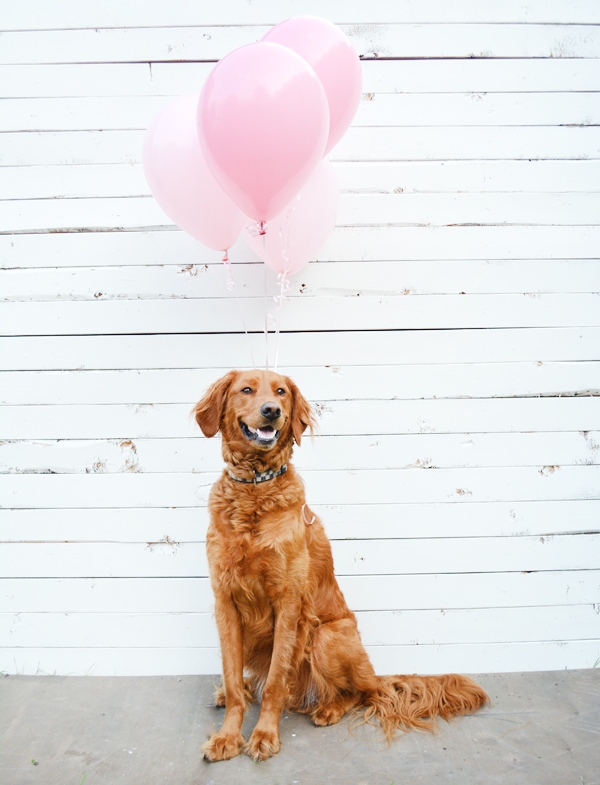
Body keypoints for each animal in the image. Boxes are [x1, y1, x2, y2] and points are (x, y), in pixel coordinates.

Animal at [195, 370, 490, 764]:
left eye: (281, 392)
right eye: (246, 389)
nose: (272, 411)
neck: (254, 489)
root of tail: (374, 675)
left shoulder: (288, 603)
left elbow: (274, 683)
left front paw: (263, 735)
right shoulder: (224, 600)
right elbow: (230, 675)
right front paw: (228, 736)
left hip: (327, 636)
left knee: (360, 692)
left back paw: (330, 708)